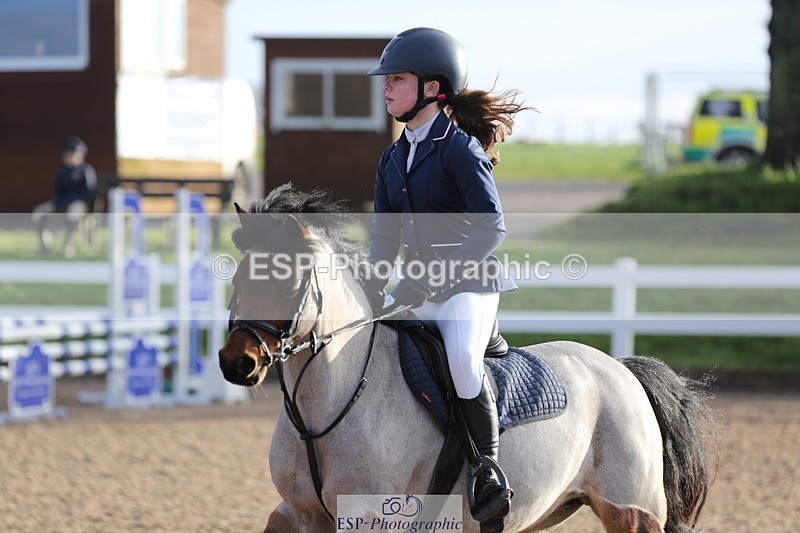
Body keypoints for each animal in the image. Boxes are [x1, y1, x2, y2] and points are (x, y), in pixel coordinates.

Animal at [218, 184, 717, 533]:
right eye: (238, 279)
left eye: (287, 285)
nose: (235, 363)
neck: (325, 408)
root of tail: (620, 369)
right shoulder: (297, 512)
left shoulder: (368, 516)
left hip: (632, 511)